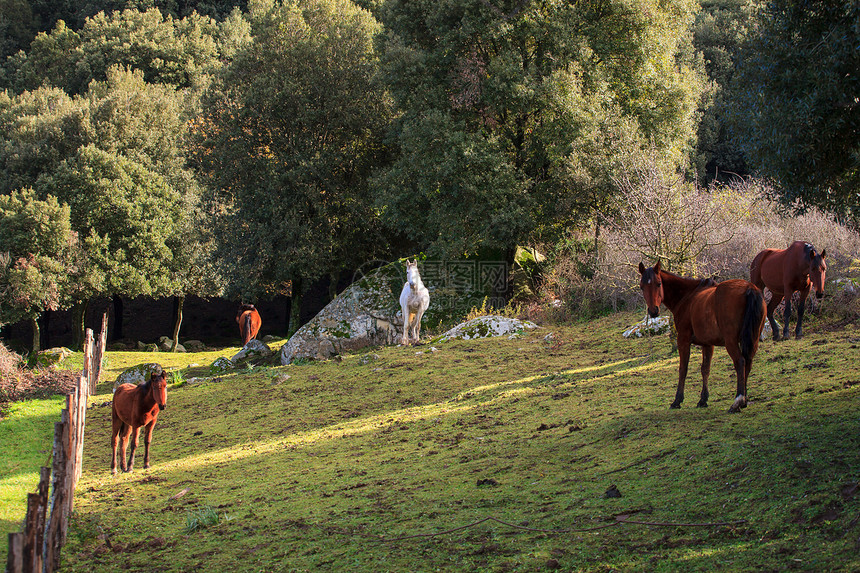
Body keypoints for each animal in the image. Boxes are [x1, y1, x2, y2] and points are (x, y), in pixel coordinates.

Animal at [640, 262, 764, 414]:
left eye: (658, 284)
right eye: (642, 286)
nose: (653, 311)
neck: (688, 296)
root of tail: (749, 288)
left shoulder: (683, 340)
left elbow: (683, 369)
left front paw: (677, 400)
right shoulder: (707, 344)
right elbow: (705, 369)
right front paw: (703, 399)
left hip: (731, 342)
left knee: (740, 362)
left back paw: (738, 401)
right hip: (753, 339)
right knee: (748, 362)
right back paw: (744, 400)